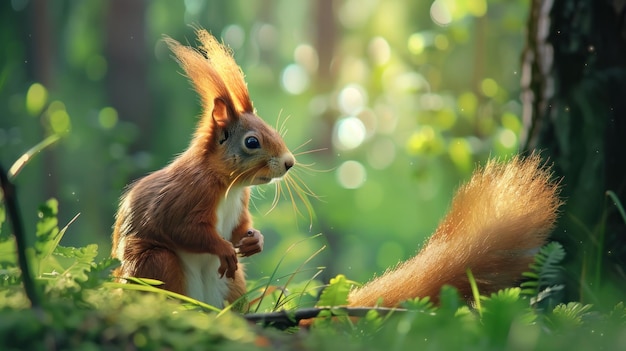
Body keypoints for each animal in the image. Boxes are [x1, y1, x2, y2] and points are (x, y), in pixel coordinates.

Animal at [111, 28, 294, 308]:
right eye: (252, 142)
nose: (289, 162)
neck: (229, 186)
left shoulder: (240, 202)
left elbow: (240, 226)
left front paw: (255, 240)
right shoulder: (186, 194)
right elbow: (184, 229)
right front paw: (223, 248)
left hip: (233, 282)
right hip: (156, 265)